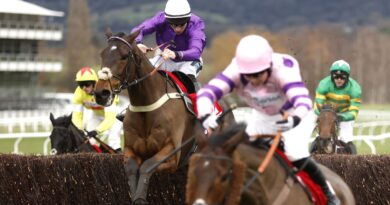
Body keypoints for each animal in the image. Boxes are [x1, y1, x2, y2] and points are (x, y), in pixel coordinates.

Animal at [94, 29, 235, 205]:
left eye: (124, 56)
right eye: (102, 54)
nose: (101, 93)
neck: (147, 107)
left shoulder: (172, 154)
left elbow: (146, 166)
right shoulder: (131, 150)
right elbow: (133, 171)